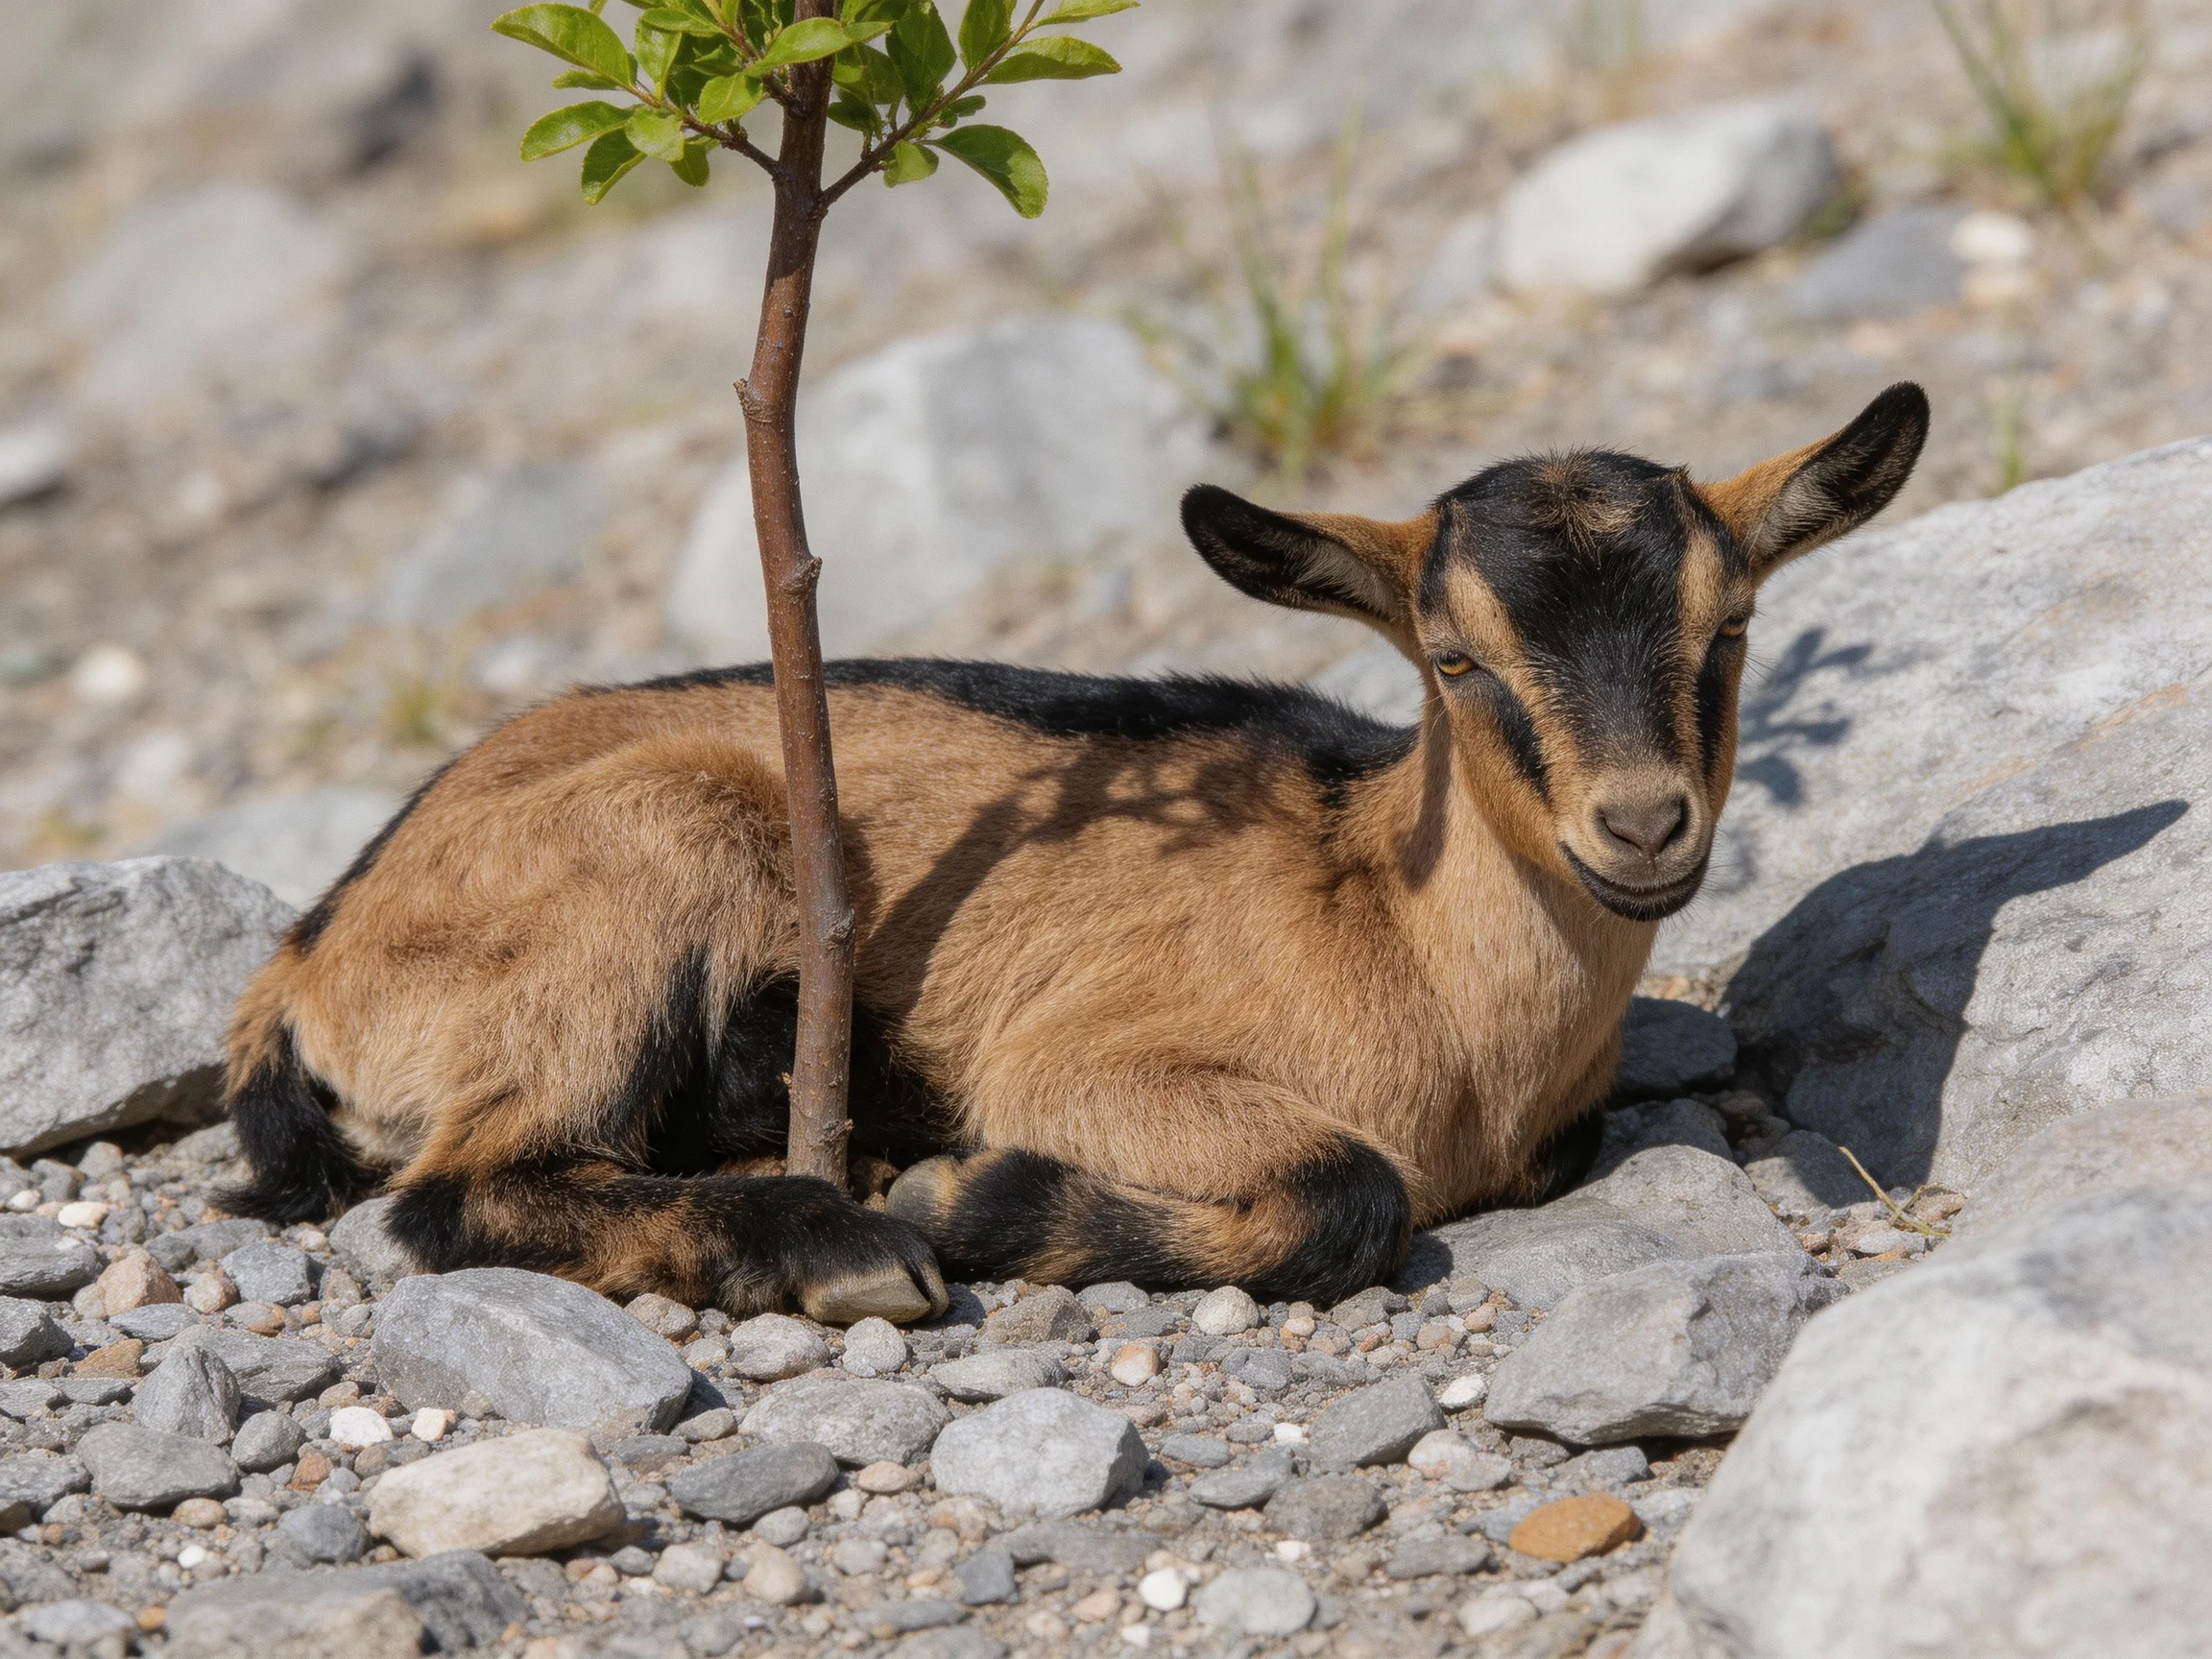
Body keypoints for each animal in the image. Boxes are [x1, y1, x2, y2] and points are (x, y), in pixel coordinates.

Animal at [221, 384, 1927, 1322]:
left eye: (1731, 626)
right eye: (1456, 659)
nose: (1641, 825)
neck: (1397, 924)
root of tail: (312, 954)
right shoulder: (1083, 1062)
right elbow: (1351, 1191)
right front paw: (968, 1197)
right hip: (654, 859)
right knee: (457, 1195)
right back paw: (840, 1234)